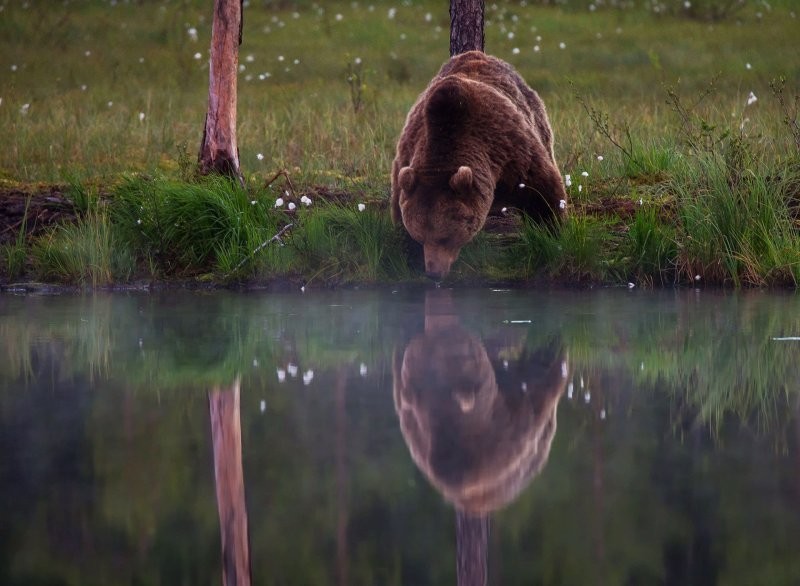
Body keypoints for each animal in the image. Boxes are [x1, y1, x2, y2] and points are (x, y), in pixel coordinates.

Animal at [390, 50, 564, 278]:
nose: (434, 273)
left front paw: (552, 232)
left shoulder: (510, 151)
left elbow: (542, 189)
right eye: (420, 236)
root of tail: (477, 53)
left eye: (446, 237)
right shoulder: (408, 152)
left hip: (535, 115)